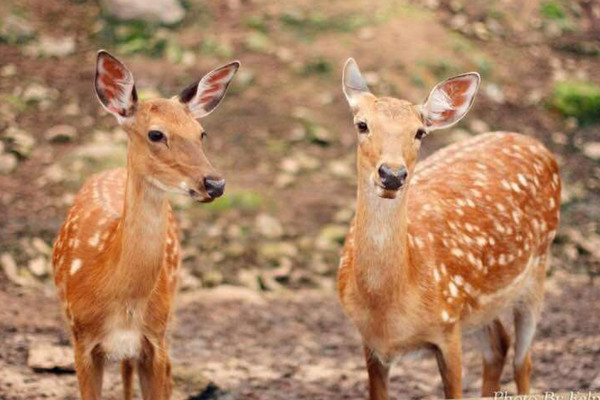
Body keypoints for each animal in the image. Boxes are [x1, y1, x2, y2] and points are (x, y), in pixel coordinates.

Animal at [51, 51, 239, 398]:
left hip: (168, 319)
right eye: (155, 134)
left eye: (201, 132)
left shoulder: (155, 342)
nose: (215, 183)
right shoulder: (81, 341)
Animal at [338, 57, 564, 398]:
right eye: (362, 124)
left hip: (537, 267)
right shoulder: (371, 343)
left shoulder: (448, 327)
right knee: (498, 345)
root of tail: (539, 145)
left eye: (420, 132)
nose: (392, 174)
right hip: (481, 304)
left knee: (523, 360)